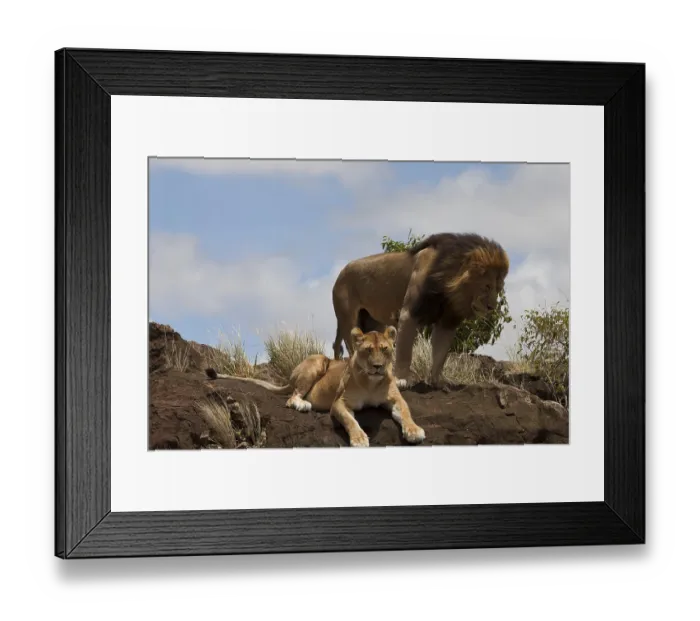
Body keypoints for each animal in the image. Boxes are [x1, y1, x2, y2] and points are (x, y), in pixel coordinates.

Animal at [204, 326, 425, 448]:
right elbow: (350, 421)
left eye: (385, 349)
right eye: (368, 350)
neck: (372, 382)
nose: (378, 366)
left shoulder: (396, 399)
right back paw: (303, 404)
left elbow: (405, 413)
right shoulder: (339, 403)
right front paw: (359, 439)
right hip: (317, 361)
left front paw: (414, 431)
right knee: (291, 397)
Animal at [331, 232, 509, 390]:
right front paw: (402, 379)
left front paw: (438, 381)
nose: (492, 307)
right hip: (349, 320)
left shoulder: (447, 321)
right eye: (487, 286)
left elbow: (440, 354)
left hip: (374, 322)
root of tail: (340, 273)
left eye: (498, 289)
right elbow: (404, 351)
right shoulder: (409, 313)